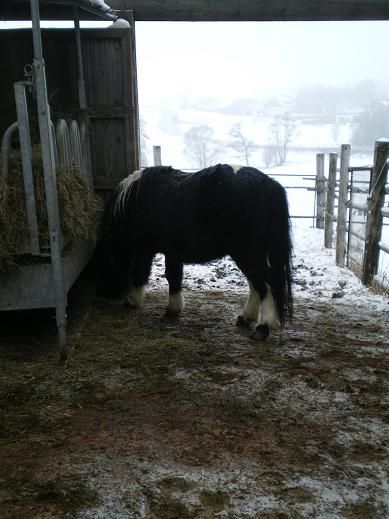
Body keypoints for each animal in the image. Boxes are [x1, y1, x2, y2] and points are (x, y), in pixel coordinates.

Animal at [95, 164, 292, 342]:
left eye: (103, 263)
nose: (103, 294)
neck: (134, 199)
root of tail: (268, 185)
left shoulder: (144, 250)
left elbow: (140, 274)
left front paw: (132, 302)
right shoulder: (172, 251)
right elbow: (173, 276)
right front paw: (173, 309)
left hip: (246, 252)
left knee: (266, 283)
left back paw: (262, 327)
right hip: (249, 253)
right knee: (256, 283)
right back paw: (246, 318)